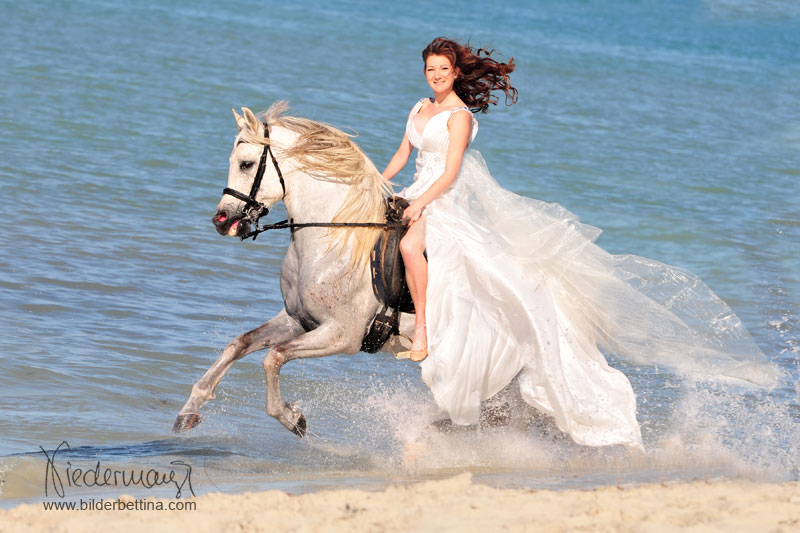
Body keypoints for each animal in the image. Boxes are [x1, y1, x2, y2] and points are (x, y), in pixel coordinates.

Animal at [171, 104, 416, 436]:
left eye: (246, 164)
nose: (221, 219)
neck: (333, 242)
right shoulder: (297, 319)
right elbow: (240, 343)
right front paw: (190, 409)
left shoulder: (343, 335)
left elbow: (273, 357)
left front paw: (290, 417)